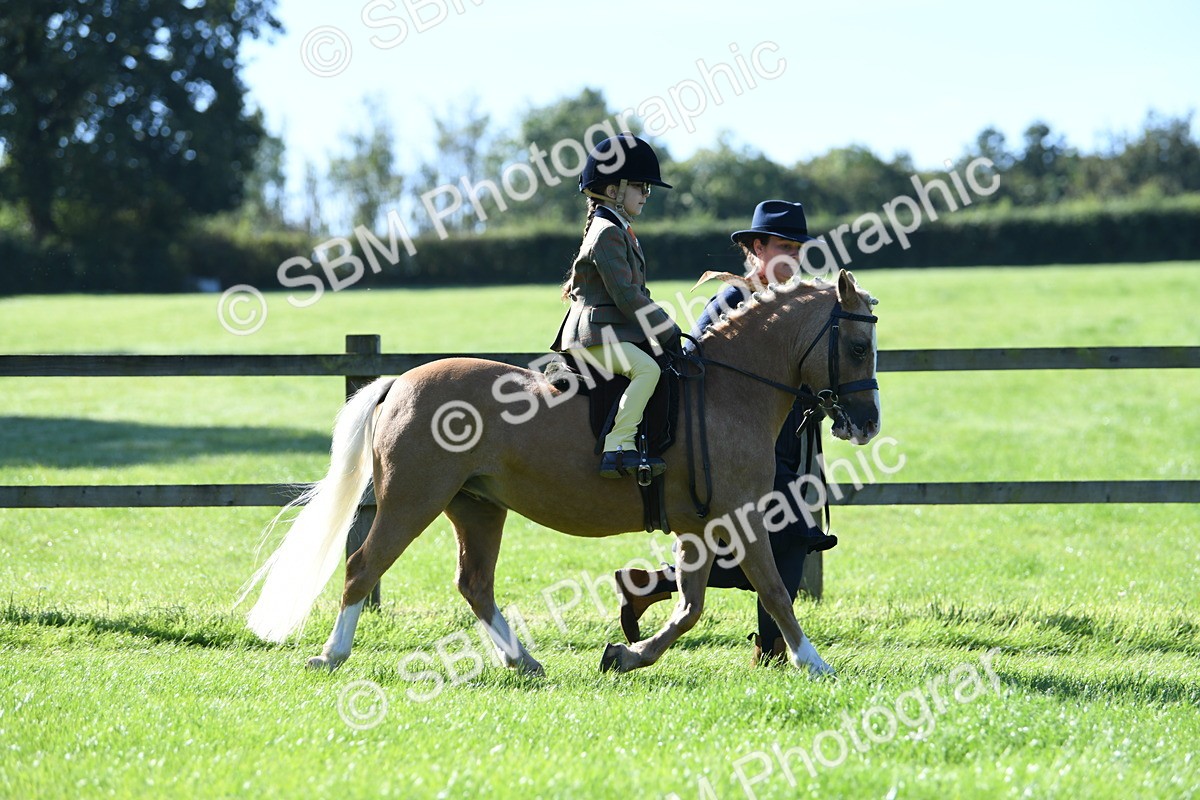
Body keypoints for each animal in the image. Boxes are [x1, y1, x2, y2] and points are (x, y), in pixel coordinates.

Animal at [242, 268, 880, 678]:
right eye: (855, 345)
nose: (868, 423)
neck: (730, 388)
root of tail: (401, 382)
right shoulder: (738, 518)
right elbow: (772, 590)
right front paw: (815, 663)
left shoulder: (699, 527)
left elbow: (691, 605)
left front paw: (627, 654)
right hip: (412, 500)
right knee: (363, 566)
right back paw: (332, 656)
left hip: (476, 506)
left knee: (474, 584)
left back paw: (521, 661)